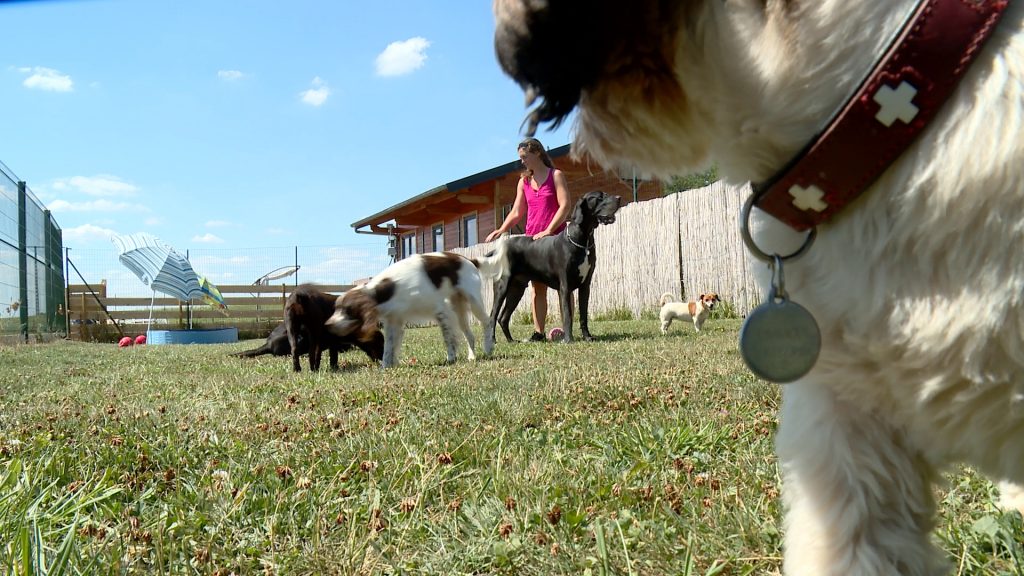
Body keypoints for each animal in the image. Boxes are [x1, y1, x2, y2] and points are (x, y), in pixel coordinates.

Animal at [325, 251, 497, 366]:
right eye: (336, 309)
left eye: (348, 310)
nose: (328, 325)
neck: (388, 289)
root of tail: (469, 259)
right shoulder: (394, 321)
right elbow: (389, 348)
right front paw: (386, 366)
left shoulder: (441, 310)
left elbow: (449, 338)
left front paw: (451, 358)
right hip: (459, 308)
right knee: (470, 335)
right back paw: (472, 356)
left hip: (473, 301)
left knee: (487, 321)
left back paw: (488, 347)